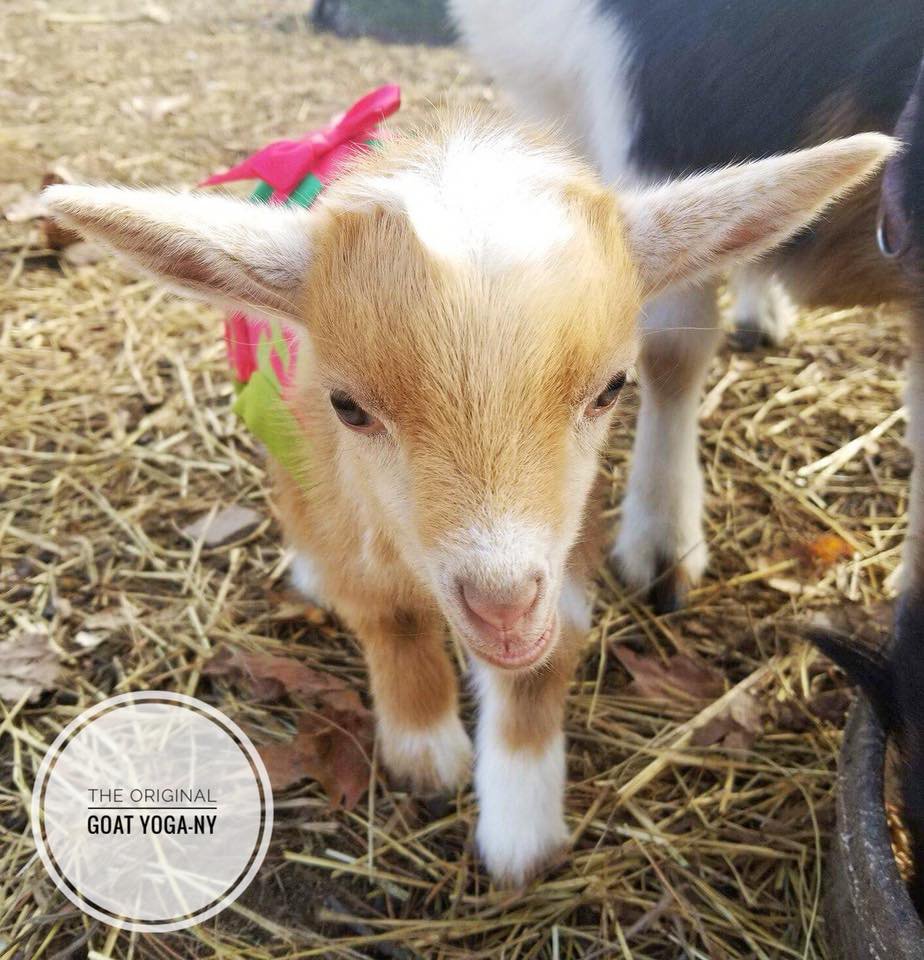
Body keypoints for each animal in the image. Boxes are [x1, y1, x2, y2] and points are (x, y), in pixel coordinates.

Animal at [45, 114, 891, 884]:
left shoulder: (564, 536)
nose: (502, 608)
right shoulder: (332, 476)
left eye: (611, 389)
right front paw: (426, 751)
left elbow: (539, 666)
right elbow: (388, 611)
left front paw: (523, 834)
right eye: (348, 406)